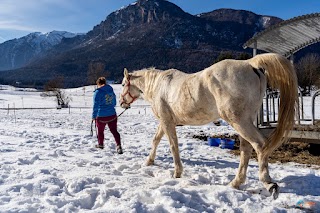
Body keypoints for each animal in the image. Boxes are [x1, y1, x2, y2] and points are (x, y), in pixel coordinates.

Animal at [119, 52, 298, 199]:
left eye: (122, 85)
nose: (121, 103)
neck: (159, 85)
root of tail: (251, 64)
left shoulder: (166, 121)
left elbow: (173, 145)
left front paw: (177, 172)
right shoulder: (165, 122)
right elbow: (156, 140)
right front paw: (149, 161)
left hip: (238, 121)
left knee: (260, 145)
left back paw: (268, 183)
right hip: (246, 121)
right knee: (246, 150)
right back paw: (236, 183)